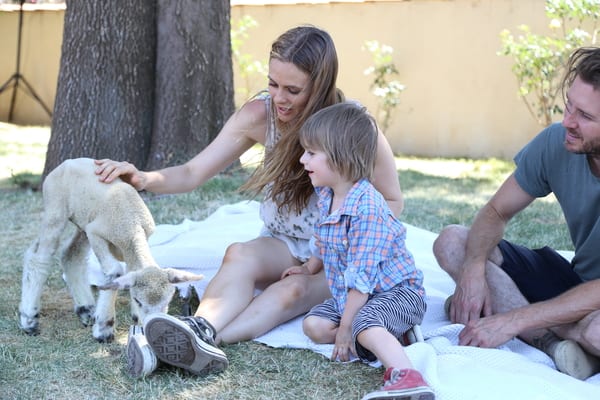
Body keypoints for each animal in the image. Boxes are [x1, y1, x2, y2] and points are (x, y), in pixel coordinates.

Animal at [19, 158, 204, 342]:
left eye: (167, 302)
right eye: (138, 300)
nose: (152, 327)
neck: (134, 229)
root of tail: (67, 162)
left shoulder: (124, 249)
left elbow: (129, 273)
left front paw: (133, 318)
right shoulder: (96, 233)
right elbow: (115, 273)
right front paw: (104, 329)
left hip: (84, 224)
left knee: (71, 255)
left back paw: (85, 309)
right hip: (56, 209)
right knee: (39, 258)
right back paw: (29, 319)